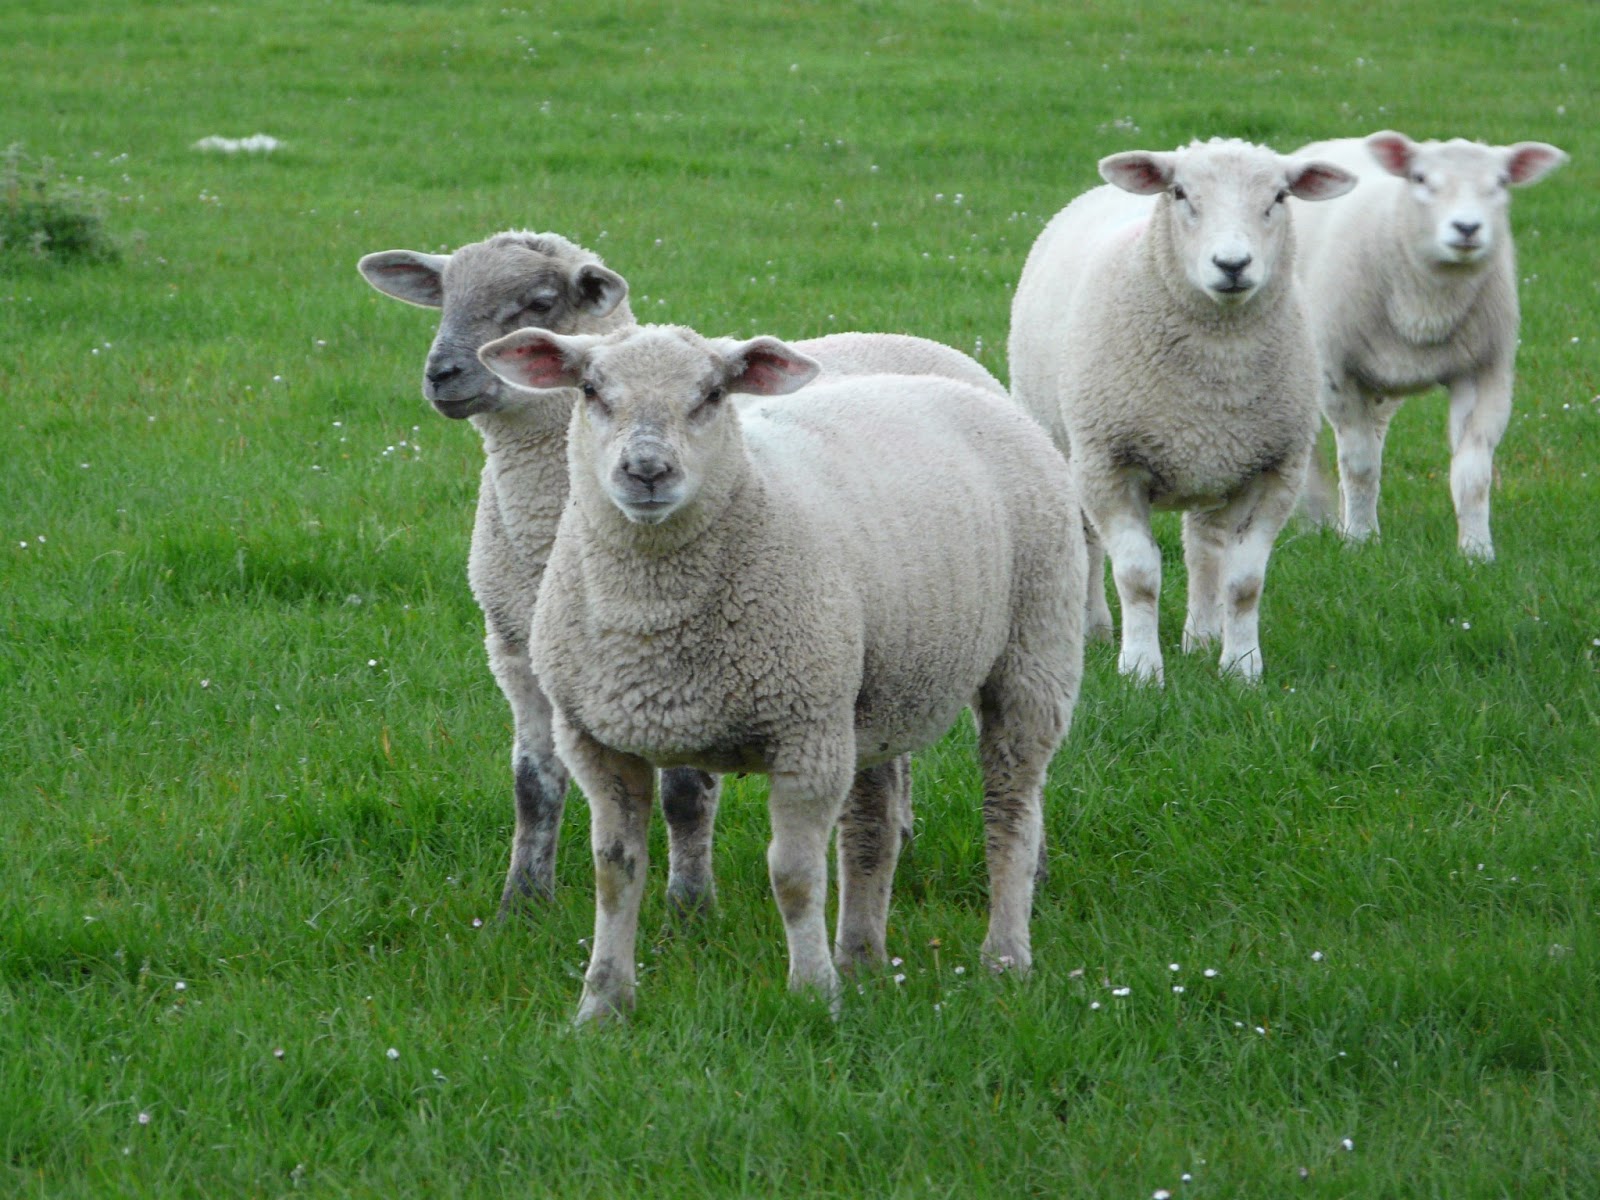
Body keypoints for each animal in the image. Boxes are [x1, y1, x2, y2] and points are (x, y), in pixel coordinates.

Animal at [357, 231, 1005, 916]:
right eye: (444, 296)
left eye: (538, 302)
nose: (441, 374)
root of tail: (908, 337)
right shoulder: (516, 653)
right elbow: (532, 785)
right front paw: (522, 903)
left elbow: (686, 795)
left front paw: (690, 907)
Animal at [476, 323, 1085, 1023]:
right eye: (591, 390)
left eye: (713, 394)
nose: (647, 472)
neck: (652, 611)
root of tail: (966, 383)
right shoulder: (596, 740)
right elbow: (615, 872)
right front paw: (601, 1005)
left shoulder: (805, 733)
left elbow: (794, 876)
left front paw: (814, 995)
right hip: (869, 689)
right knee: (872, 827)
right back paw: (862, 959)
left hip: (1035, 646)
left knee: (1010, 808)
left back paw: (1004, 956)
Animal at [1009, 139, 1356, 684]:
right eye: (1179, 193)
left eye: (1279, 196)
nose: (1232, 264)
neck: (1218, 365)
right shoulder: (1109, 464)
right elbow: (1137, 575)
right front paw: (1140, 669)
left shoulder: (1275, 469)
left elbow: (1244, 580)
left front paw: (1241, 667)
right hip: (1062, 442)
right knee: (1087, 542)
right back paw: (1094, 628)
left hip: (1216, 463)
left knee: (1203, 548)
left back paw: (1202, 635)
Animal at [1291, 131, 1569, 561]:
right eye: (1420, 178)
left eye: (1502, 181)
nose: (1467, 227)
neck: (1426, 311)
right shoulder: (1337, 373)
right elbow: (1359, 465)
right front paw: (1361, 542)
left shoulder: (1485, 371)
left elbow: (1473, 474)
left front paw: (1476, 553)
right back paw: (1317, 524)